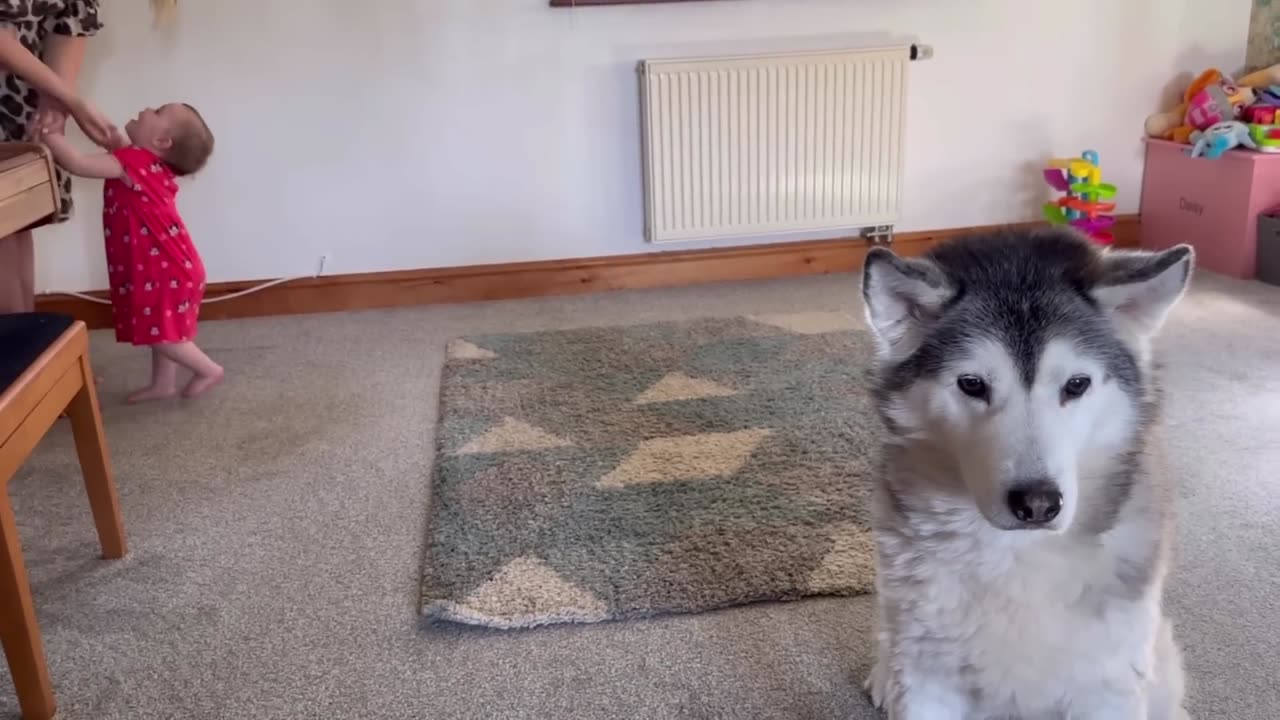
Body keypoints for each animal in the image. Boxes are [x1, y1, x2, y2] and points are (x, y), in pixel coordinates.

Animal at [855, 226, 1192, 712]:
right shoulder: (927, 676)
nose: (1037, 503)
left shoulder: (1107, 685)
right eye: (972, 384)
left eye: (1076, 384)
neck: (1016, 556)